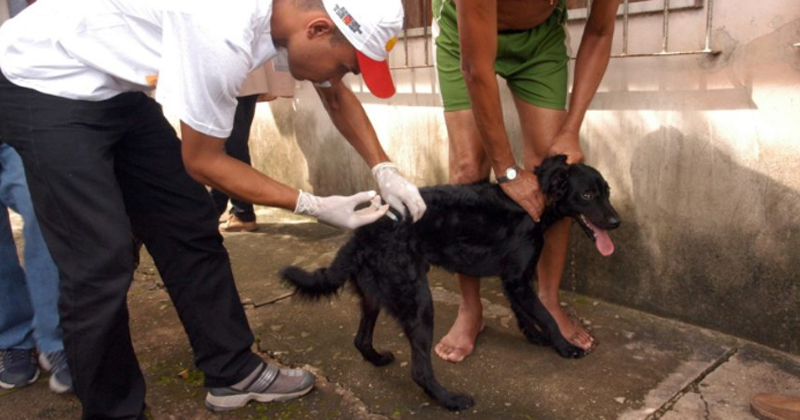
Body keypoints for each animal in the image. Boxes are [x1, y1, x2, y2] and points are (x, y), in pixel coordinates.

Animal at [282, 155, 620, 410]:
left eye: (606, 191)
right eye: (587, 195)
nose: (617, 222)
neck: (534, 202)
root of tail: (361, 234)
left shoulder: (514, 280)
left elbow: (525, 312)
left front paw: (535, 336)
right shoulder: (518, 279)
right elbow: (547, 316)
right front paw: (564, 346)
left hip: (375, 296)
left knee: (361, 340)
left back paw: (378, 359)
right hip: (418, 303)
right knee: (419, 370)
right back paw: (450, 400)